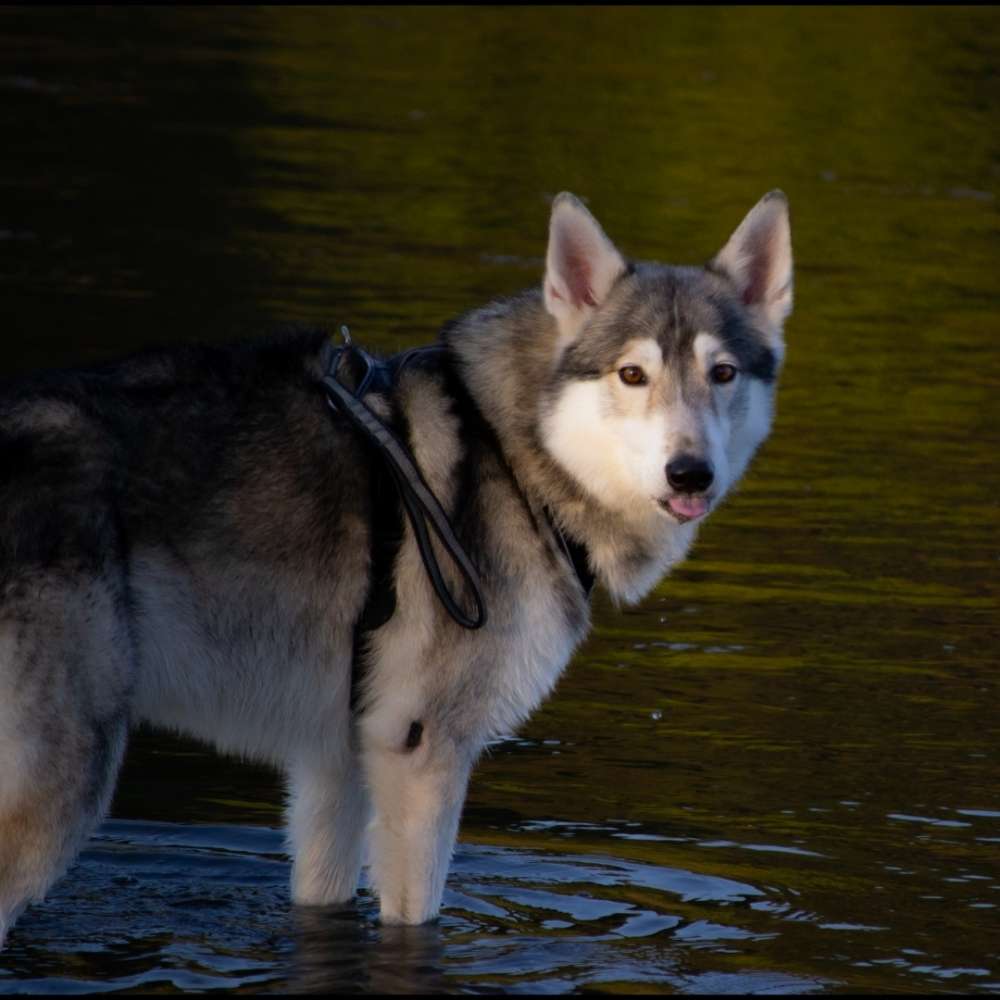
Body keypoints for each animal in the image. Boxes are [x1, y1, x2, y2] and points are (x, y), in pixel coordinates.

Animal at [1, 189, 796, 944]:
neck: (514, 455)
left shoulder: (334, 761)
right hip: (60, 792)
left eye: (723, 373)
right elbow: (415, 921)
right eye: (632, 374)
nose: (690, 473)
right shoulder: (420, 753)